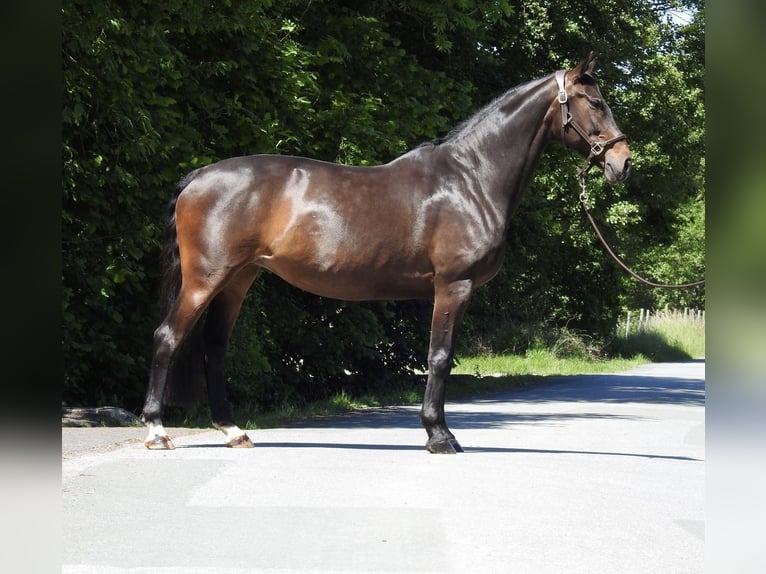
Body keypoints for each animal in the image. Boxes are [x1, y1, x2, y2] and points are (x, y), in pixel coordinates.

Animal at [141, 52, 632, 453]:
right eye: (595, 102)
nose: (623, 162)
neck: (470, 178)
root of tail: (199, 176)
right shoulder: (453, 285)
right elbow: (439, 357)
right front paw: (439, 436)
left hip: (237, 279)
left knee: (213, 347)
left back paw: (232, 431)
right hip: (206, 278)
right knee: (167, 337)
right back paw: (157, 431)